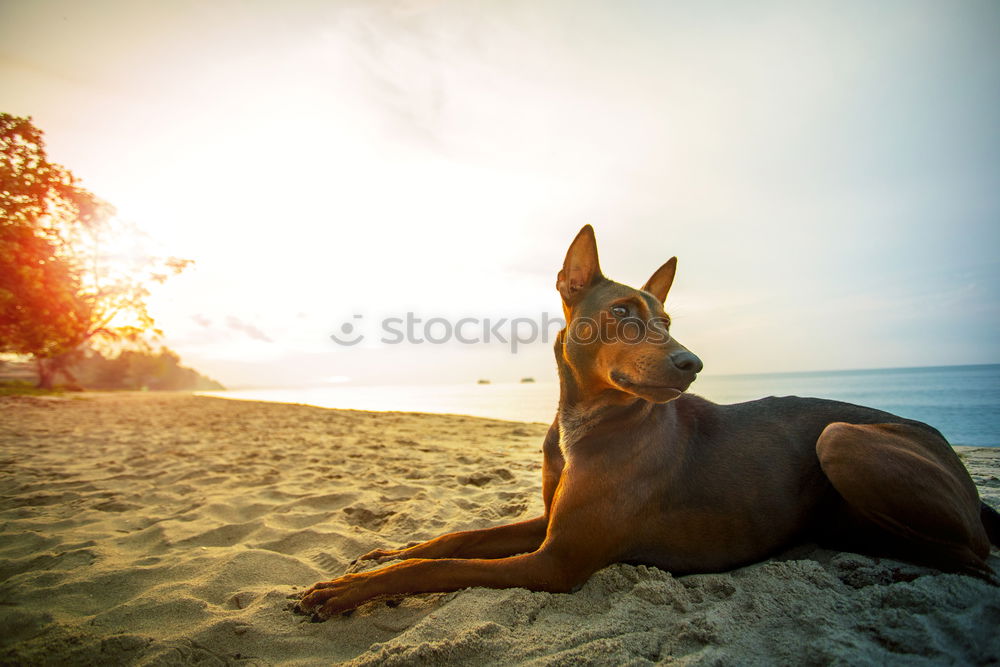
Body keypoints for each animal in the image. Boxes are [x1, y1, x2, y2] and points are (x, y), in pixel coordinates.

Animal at [296, 226, 1000, 620]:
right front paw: (387, 552)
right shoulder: (548, 524)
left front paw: (344, 591)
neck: (585, 423)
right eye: (625, 313)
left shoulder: (556, 562)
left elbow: (436, 569)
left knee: (976, 558)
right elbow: (453, 539)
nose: (692, 362)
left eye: (665, 319)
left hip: (842, 437)